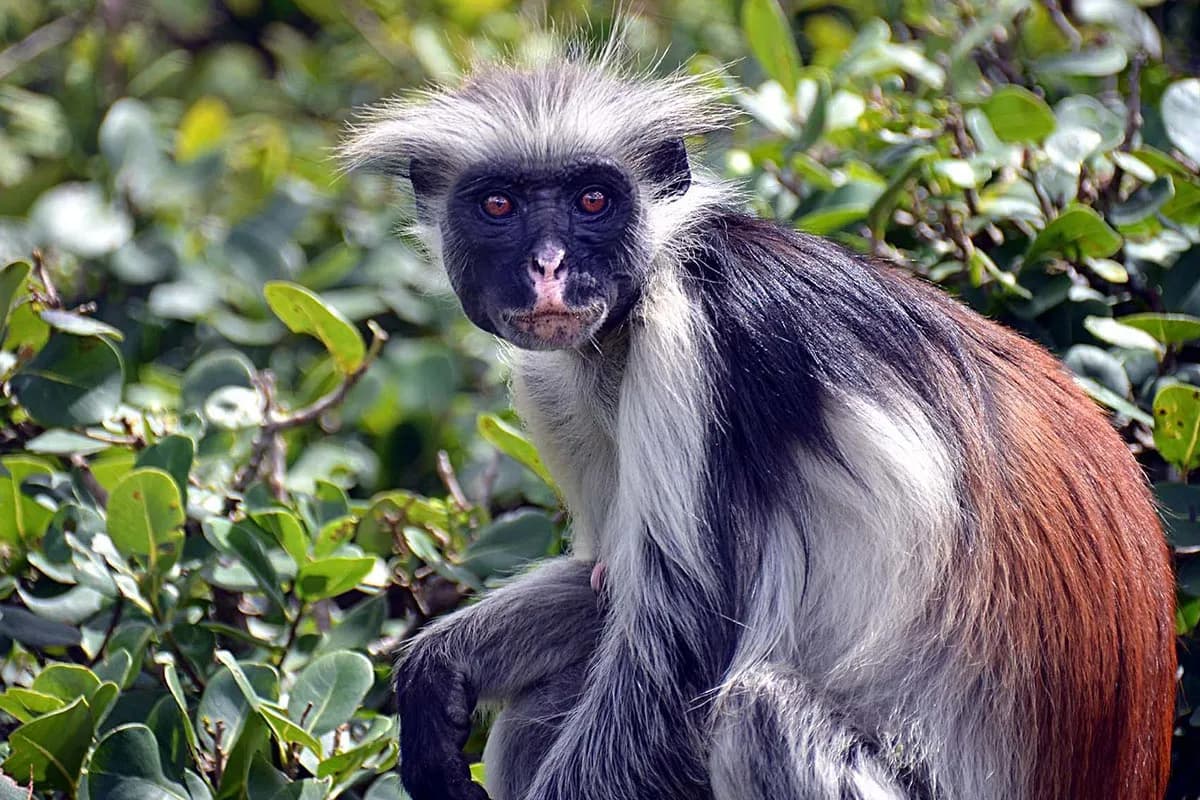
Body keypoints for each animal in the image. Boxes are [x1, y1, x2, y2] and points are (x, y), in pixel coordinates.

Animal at [343, 42, 1176, 800]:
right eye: (498, 206)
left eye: (592, 202)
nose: (549, 270)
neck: (632, 318)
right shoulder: (560, 383)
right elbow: (609, 584)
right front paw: (438, 670)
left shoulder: (693, 340)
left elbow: (680, 659)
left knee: (755, 714)